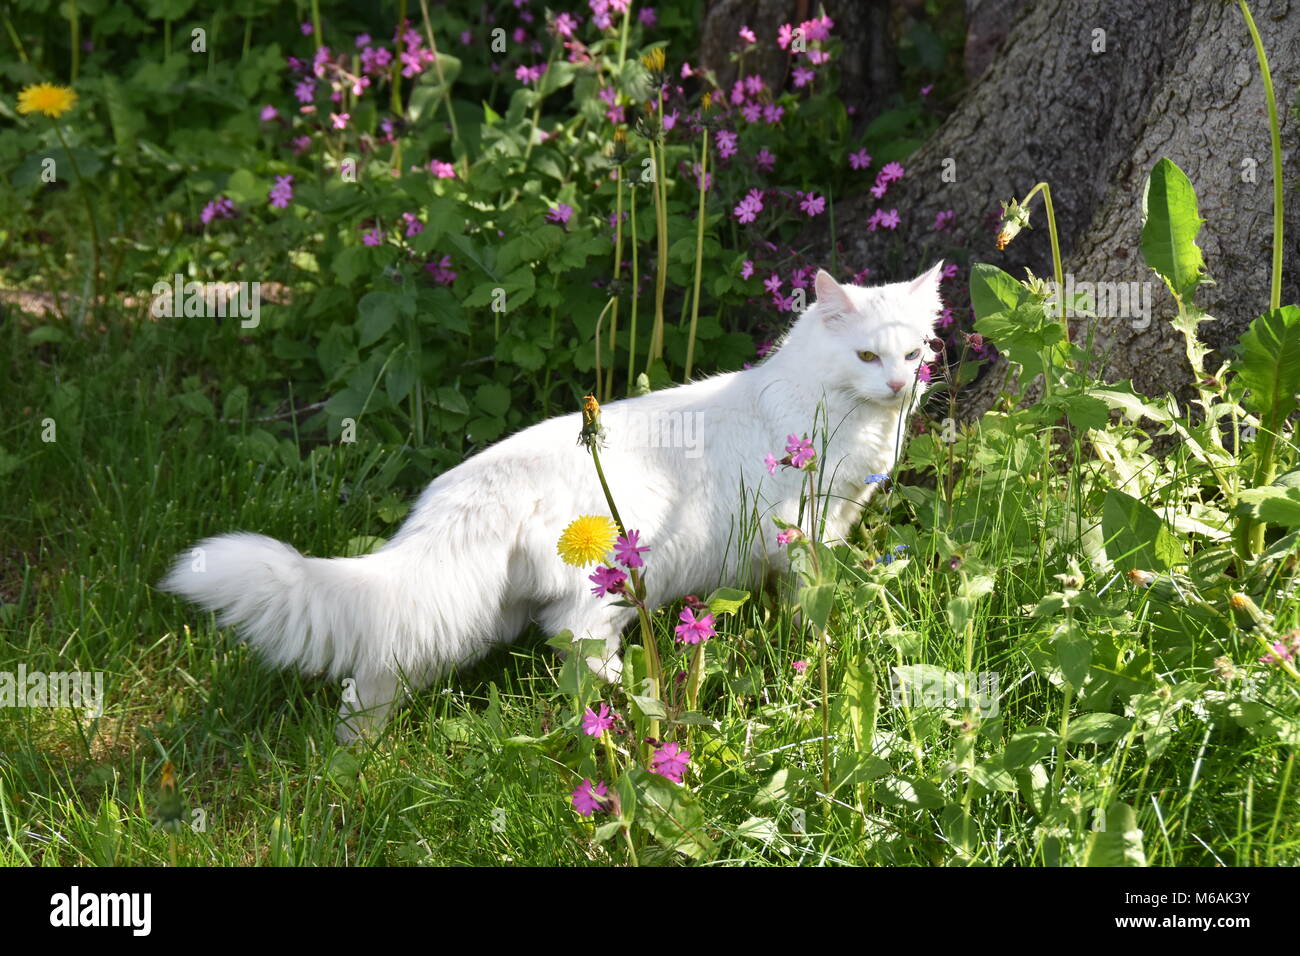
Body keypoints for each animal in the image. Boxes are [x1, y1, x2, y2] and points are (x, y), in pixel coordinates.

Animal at [159, 265, 946, 743]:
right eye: (868, 358)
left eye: (913, 354)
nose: (897, 385)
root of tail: (467, 487)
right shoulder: (806, 530)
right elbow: (815, 603)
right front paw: (819, 645)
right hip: (606, 589)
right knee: (580, 652)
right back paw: (639, 709)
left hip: (459, 617)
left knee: (372, 675)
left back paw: (355, 759)